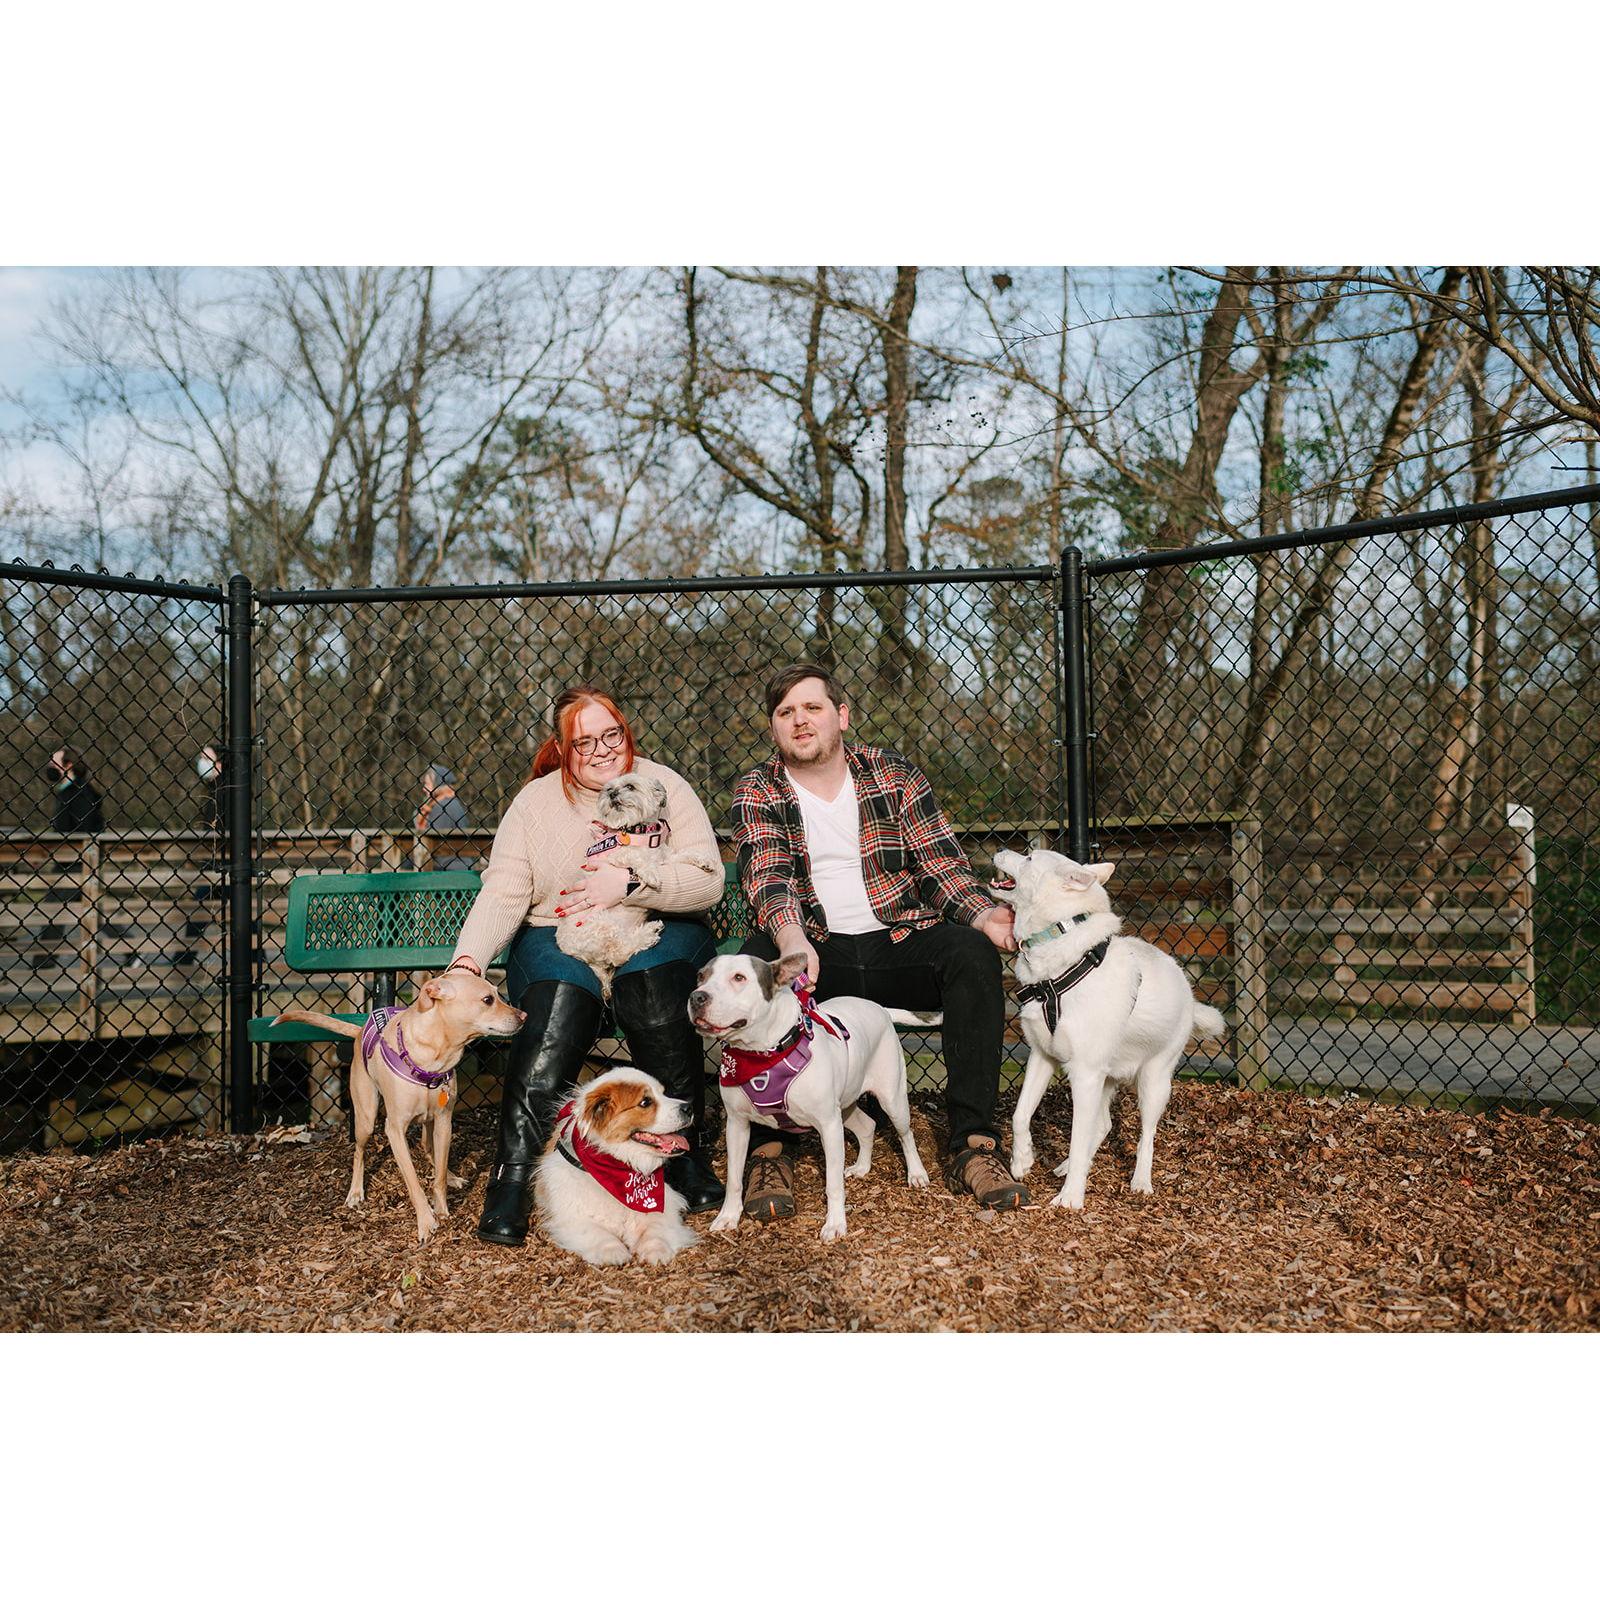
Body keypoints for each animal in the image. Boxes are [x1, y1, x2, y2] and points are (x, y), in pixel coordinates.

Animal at [273, 966, 524, 1241]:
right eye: (487, 1000)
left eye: (498, 994)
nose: (523, 1015)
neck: (434, 1057)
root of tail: (358, 1033)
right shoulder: (394, 1130)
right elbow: (413, 1181)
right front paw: (426, 1222)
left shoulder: (444, 1121)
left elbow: (438, 1176)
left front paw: (442, 1209)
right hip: (366, 1118)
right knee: (359, 1151)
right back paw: (355, 1192)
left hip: (430, 1124)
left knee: (429, 1149)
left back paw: (451, 1176)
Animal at [534, 1068, 697, 1267]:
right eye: (645, 1102)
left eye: (664, 1093)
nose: (688, 1108)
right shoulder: (573, 1217)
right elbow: (597, 1232)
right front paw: (612, 1251)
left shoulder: (666, 1204)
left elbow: (656, 1227)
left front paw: (656, 1249)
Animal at [556, 771, 675, 992]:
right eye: (609, 789)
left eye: (630, 787)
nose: (612, 794)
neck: (639, 833)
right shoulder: (613, 857)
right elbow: (636, 856)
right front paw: (651, 873)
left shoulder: (666, 858)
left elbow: (683, 856)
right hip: (602, 924)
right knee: (618, 953)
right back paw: (648, 933)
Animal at [684, 947, 934, 1248]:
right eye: (701, 976)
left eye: (739, 977)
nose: (697, 997)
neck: (762, 1054)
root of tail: (881, 1009)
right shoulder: (736, 1125)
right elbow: (733, 1178)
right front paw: (728, 1217)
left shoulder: (828, 1126)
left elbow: (833, 1184)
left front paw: (835, 1224)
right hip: (846, 1107)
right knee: (868, 1126)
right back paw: (862, 1167)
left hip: (892, 1099)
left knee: (905, 1135)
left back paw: (916, 1173)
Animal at [985, 844, 1222, 1203]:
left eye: (1029, 858)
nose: (998, 849)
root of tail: (1188, 993)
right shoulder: (1043, 1058)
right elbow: (1020, 1114)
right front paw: (1022, 1159)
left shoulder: (1084, 1074)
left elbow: (1076, 1137)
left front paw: (1070, 1198)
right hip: (1106, 1078)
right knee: (1103, 1126)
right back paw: (1067, 1166)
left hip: (1153, 1082)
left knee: (1146, 1134)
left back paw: (1140, 1181)